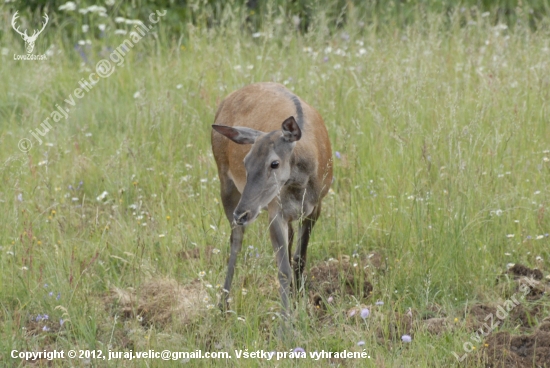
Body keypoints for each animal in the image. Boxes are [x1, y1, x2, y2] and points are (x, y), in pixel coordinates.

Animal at [210, 82, 332, 314]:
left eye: (274, 163)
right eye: (246, 161)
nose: (242, 213)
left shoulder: (316, 206)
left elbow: (299, 258)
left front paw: (300, 301)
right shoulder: (276, 210)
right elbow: (283, 268)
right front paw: (287, 320)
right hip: (224, 178)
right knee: (236, 240)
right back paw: (223, 303)